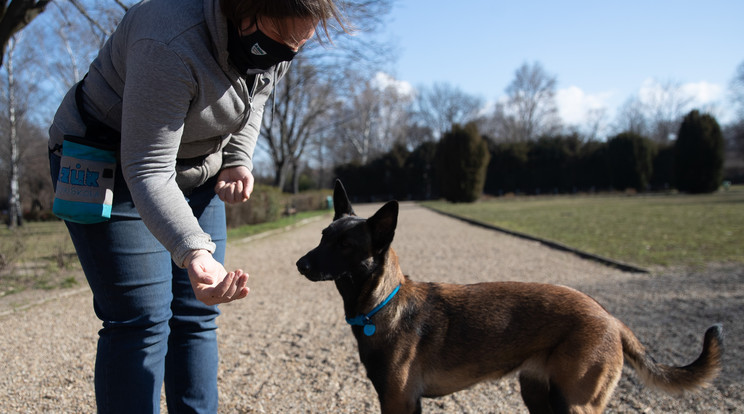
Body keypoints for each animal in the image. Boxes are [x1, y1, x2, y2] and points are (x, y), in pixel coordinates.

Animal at [294, 181, 720, 414]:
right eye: (323, 236)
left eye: (345, 245)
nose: (300, 264)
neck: (385, 304)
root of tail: (610, 317)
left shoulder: (399, 401)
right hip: (538, 394)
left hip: (575, 403)